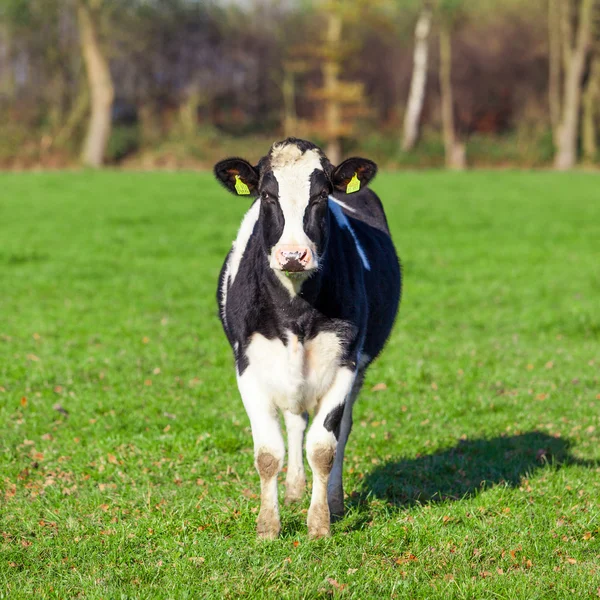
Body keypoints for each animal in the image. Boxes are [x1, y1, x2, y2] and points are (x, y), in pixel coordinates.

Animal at [213, 137, 400, 540]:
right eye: (268, 196)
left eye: (322, 196)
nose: (293, 255)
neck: (296, 310)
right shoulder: (248, 367)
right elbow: (269, 453)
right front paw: (268, 526)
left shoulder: (345, 363)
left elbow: (324, 447)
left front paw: (320, 523)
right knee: (296, 420)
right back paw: (295, 489)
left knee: (339, 429)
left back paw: (333, 500)